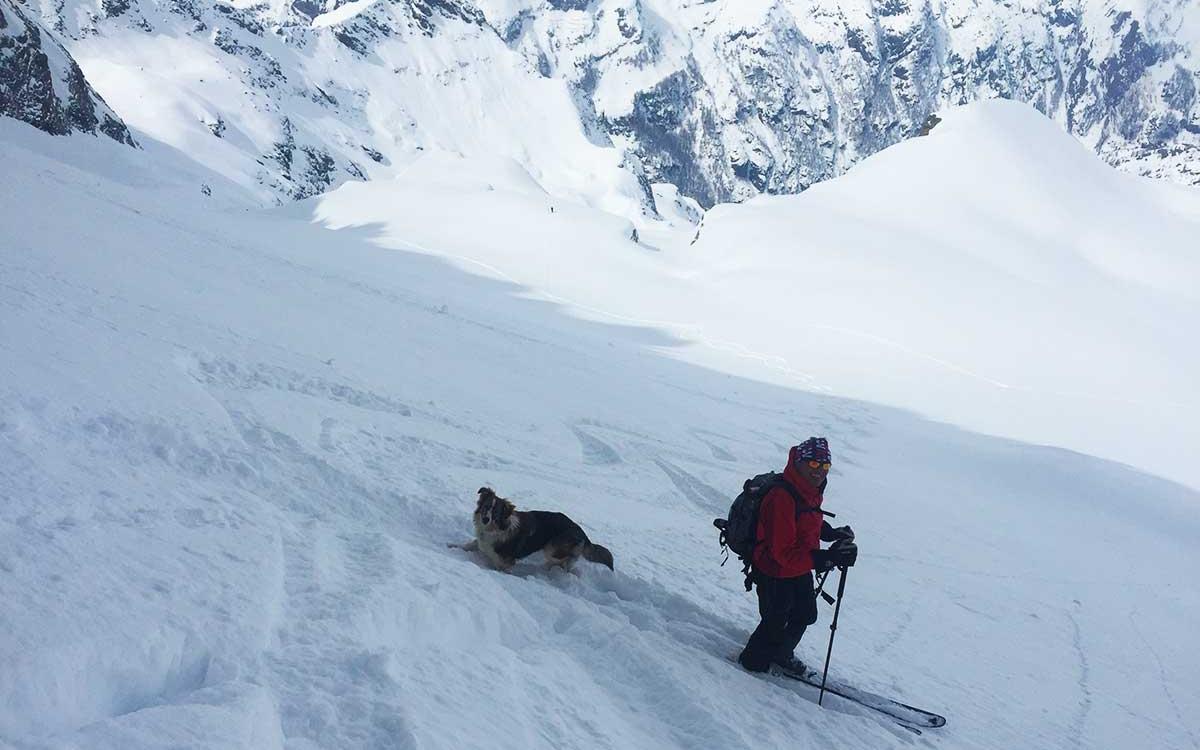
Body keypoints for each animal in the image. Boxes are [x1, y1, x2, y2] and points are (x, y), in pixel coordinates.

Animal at [453, 482, 614, 571]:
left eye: (496, 512)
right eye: (486, 507)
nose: (485, 519)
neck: (495, 529)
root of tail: (582, 532)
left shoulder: (506, 562)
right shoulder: (482, 543)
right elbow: (469, 545)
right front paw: (452, 546)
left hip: (552, 548)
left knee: (567, 560)